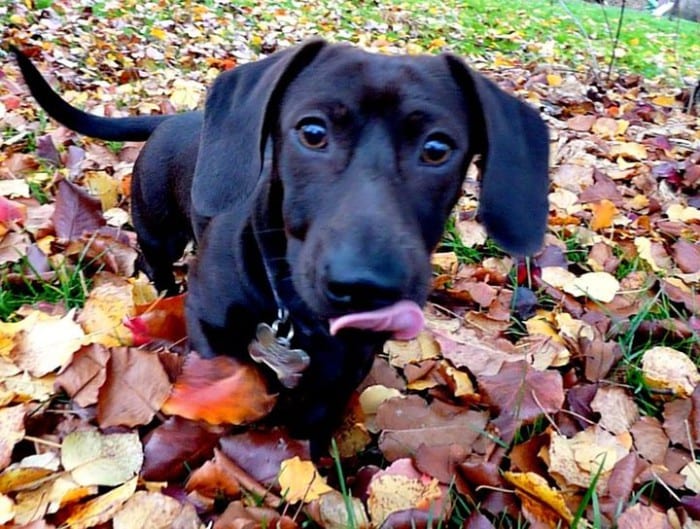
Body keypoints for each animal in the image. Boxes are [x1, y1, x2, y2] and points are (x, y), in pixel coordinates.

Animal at [10, 41, 548, 454]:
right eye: (312, 131)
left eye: (438, 148)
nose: (365, 285)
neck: (291, 306)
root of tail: (175, 118)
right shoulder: (209, 323)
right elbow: (231, 374)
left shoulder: (348, 362)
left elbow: (316, 414)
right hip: (159, 228)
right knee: (153, 259)